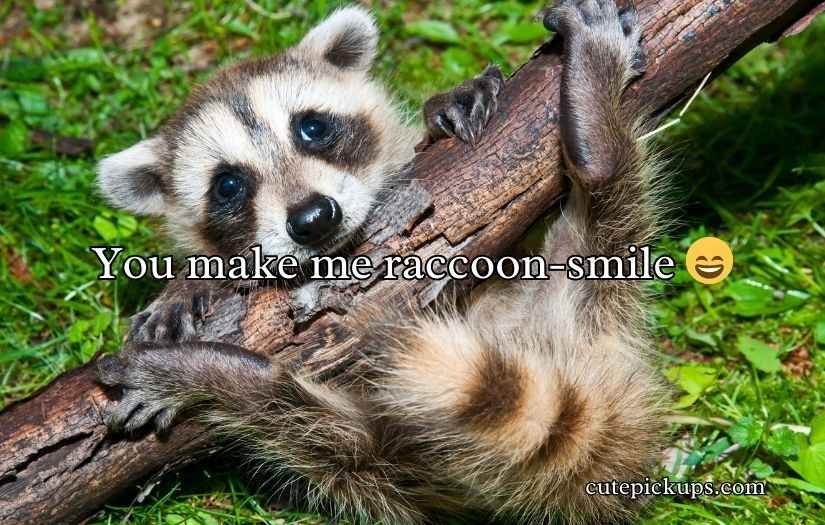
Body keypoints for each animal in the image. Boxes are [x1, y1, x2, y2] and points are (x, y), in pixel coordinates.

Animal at [97, 2, 666, 524]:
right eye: (229, 185)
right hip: (388, 454)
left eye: (312, 128)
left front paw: (445, 106)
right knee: (293, 417)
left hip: (586, 282)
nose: (312, 219)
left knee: (606, 202)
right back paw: (216, 373)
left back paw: (596, 127)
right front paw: (187, 287)